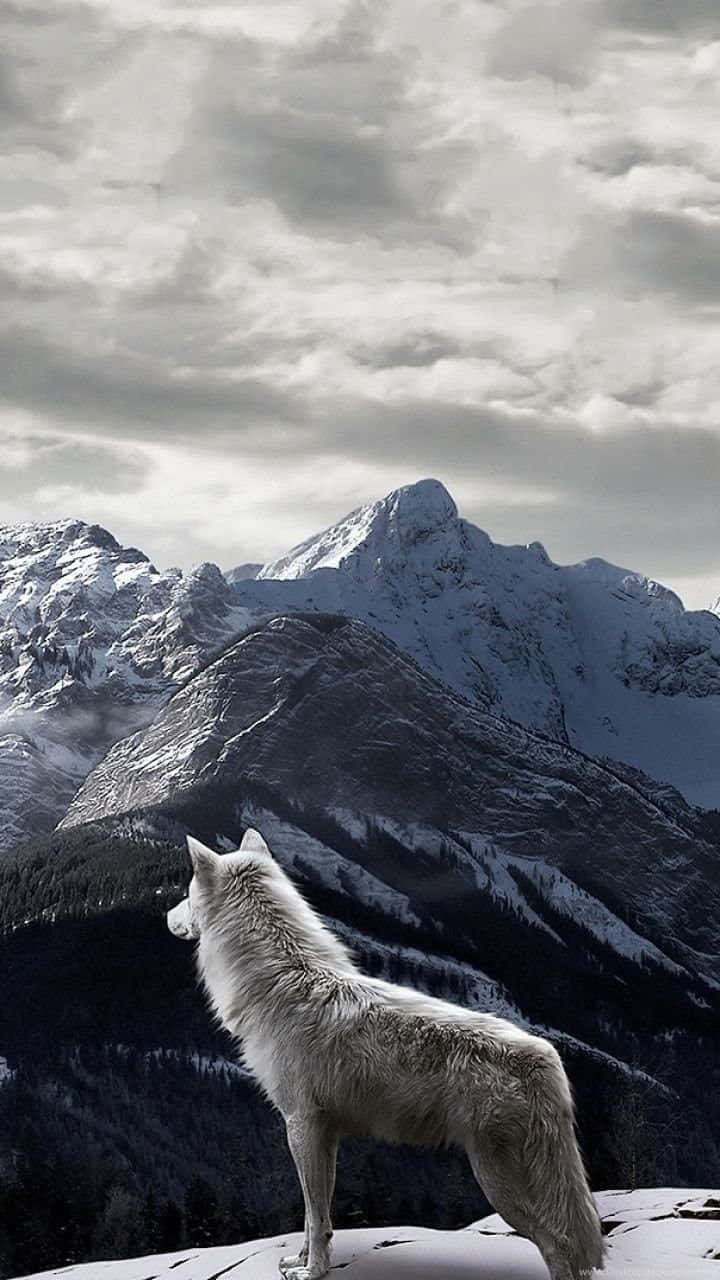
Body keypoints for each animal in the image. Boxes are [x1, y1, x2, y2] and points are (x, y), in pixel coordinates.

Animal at [167, 830, 604, 1280]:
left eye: (186, 894)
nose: (166, 915)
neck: (280, 982)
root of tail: (545, 1056)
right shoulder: (324, 1133)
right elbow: (315, 1215)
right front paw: (302, 1260)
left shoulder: (300, 1124)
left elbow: (314, 1214)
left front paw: (312, 1271)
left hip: (499, 1185)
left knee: (560, 1247)